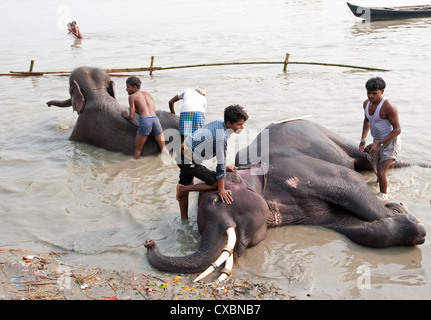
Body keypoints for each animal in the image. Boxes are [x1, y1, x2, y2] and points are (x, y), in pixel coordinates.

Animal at [144, 119, 426, 282]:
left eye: (215, 201)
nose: (148, 242)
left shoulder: (299, 170)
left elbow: (351, 181)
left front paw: (415, 224)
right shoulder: (308, 210)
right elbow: (349, 225)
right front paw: (406, 221)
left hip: (328, 135)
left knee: (365, 161)